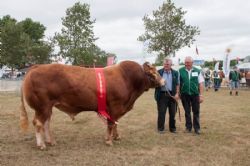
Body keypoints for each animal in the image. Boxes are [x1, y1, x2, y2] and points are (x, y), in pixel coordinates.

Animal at [20, 60, 165, 149]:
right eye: (153, 73)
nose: (163, 82)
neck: (127, 78)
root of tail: (37, 66)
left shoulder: (116, 109)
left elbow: (115, 123)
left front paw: (116, 137)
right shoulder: (115, 106)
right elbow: (111, 123)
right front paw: (109, 141)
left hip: (47, 108)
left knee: (46, 123)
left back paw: (51, 141)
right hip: (42, 107)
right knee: (38, 123)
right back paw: (42, 145)